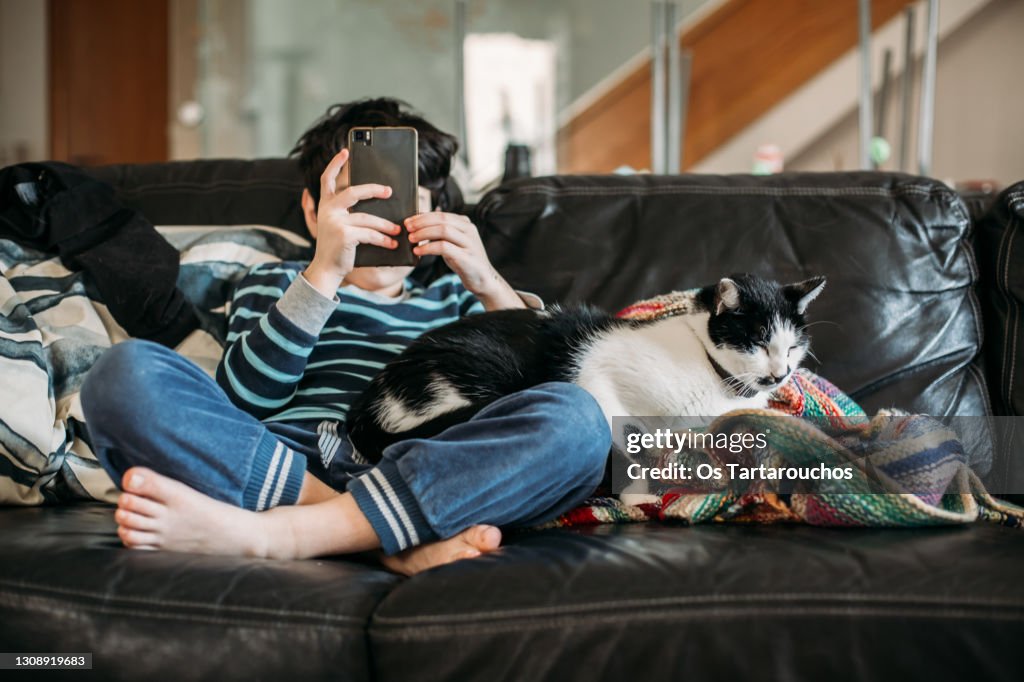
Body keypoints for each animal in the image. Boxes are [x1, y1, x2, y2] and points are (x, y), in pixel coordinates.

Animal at [348, 272, 827, 462]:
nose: (781, 374)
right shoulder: (597, 380)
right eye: (758, 343)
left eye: (793, 347)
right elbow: (624, 441)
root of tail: (363, 408)